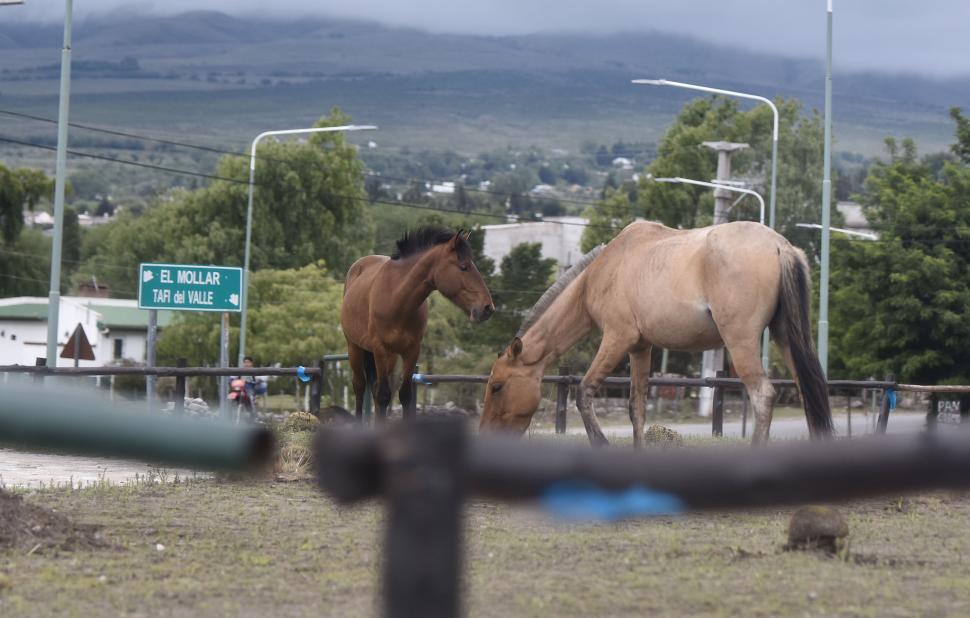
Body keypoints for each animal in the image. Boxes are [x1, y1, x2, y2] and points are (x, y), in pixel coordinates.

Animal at [340, 229, 492, 422]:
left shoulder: (411, 351)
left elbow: (405, 395)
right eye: (463, 267)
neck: (397, 299)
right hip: (355, 347)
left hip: (389, 357)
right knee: (360, 386)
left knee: (374, 388)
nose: (488, 308)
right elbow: (384, 396)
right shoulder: (380, 349)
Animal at [476, 219, 832, 446]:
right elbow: (637, 407)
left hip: (741, 342)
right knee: (809, 392)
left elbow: (584, 392)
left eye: (497, 386)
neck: (600, 273)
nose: (485, 435)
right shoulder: (640, 348)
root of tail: (781, 247)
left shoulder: (616, 339)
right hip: (785, 338)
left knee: (763, 396)